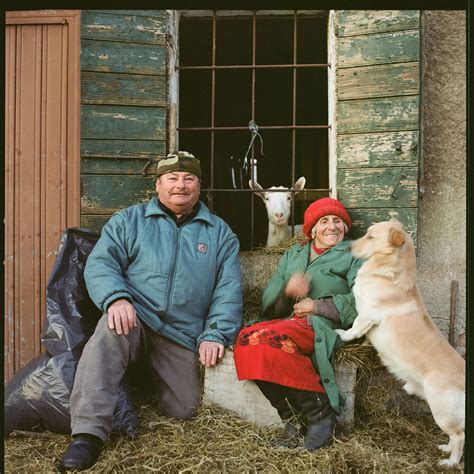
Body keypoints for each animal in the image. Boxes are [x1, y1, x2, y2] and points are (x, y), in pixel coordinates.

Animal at [336, 219, 464, 466]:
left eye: (370, 237)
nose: (347, 248)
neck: (389, 271)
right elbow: (363, 335)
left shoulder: (367, 314)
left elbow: (354, 328)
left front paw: (342, 334)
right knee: (455, 437)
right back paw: (445, 448)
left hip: (441, 411)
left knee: (459, 436)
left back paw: (450, 462)